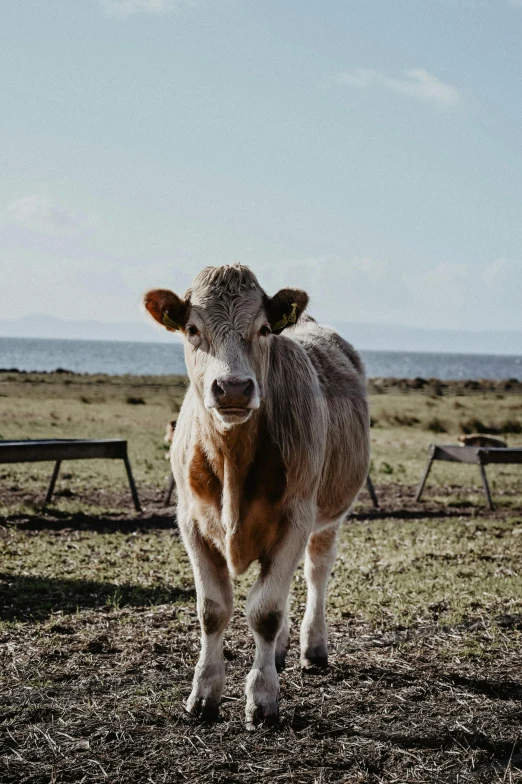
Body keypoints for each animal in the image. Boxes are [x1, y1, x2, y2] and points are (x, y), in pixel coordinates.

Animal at [143, 264, 370, 728]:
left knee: (315, 573)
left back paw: (312, 648)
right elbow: (213, 609)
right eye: (192, 329)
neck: (233, 461)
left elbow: (264, 611)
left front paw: (263, 699)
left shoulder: (296, 518)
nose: (232, 388)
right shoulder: (190, 521)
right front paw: (204, 694)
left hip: (328, 517)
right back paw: (281, 652)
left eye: (263, 328)